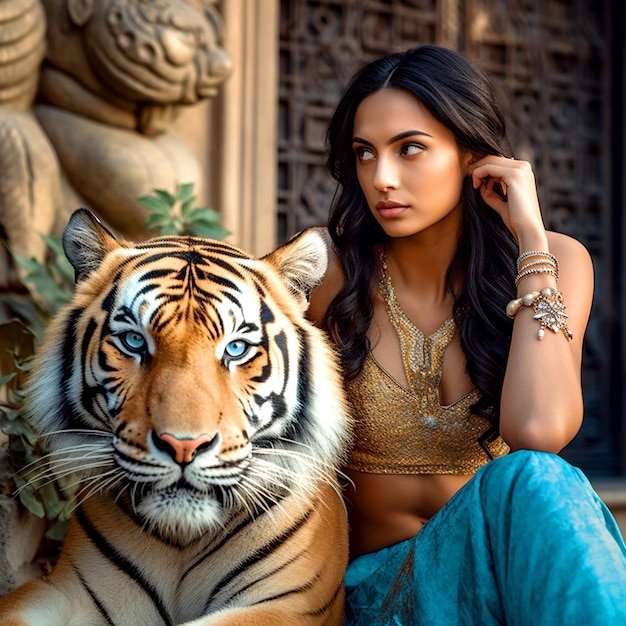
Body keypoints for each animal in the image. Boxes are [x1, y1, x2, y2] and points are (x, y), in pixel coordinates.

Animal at [0, 210, 352, 624]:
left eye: (236, 348)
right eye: (135, 341)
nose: (184, 446)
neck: (182, 538)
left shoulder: (290, 604)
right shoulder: (65, 589)